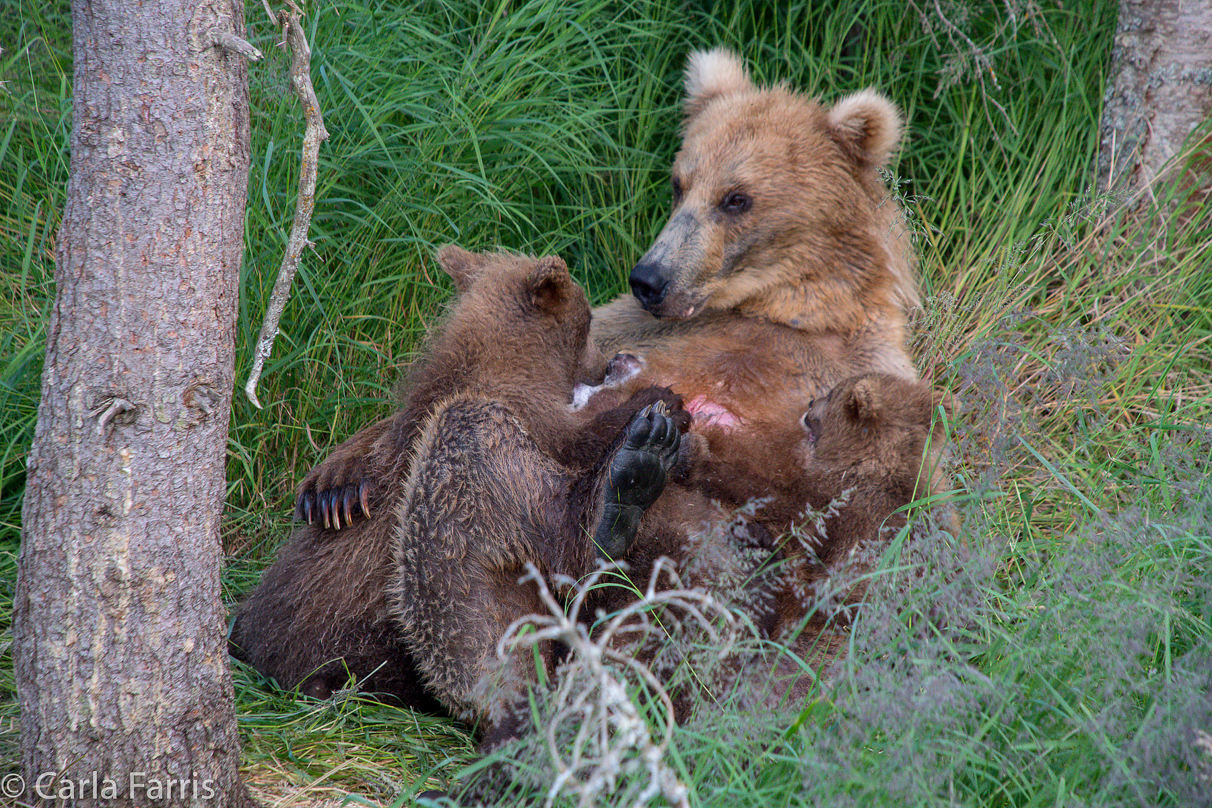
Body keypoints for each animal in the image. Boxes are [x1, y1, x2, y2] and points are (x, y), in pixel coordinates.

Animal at [226, 243, 683, 712]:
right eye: (589, 319)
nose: (607, 363)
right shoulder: (531, 414)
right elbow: (575, 438)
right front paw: (659, 400)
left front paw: (333, 488)